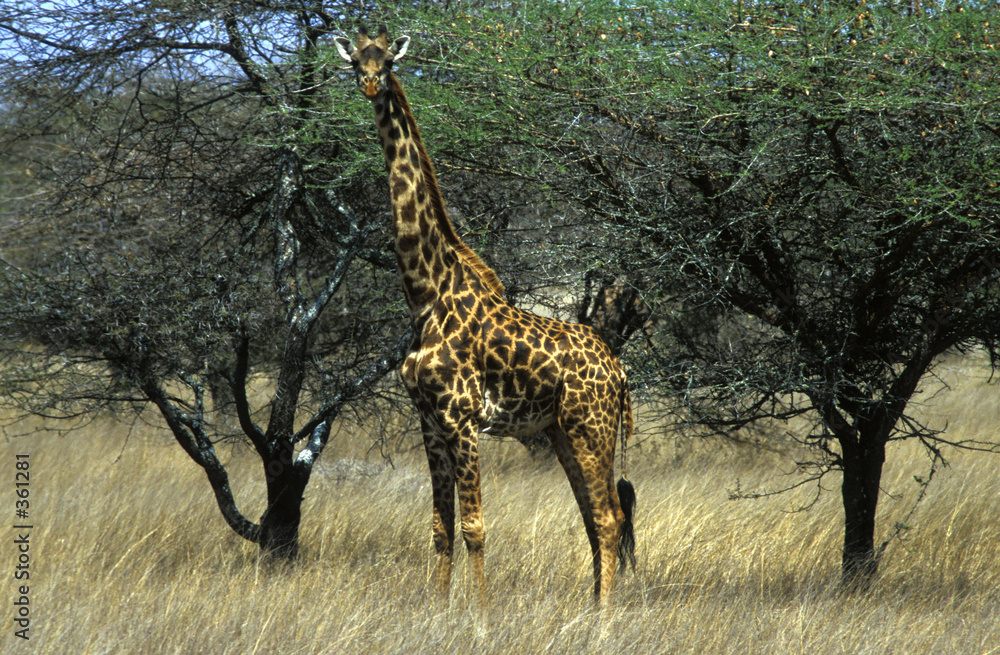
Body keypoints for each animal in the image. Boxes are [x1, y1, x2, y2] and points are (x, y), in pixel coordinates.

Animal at [334, 26, 635, 604]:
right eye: (356, 61)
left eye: (387, 62)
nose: (369, 85)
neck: (426, 294)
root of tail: (620, 369)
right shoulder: (429, 421)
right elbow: (440, 527)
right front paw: (438, 607)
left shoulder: (463, 418)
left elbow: (474, 525)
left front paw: (481, 611)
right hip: (561, 430)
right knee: (596, 516)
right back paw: (592, 605)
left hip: (591, 425)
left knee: (610, 515)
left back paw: (606, 613)